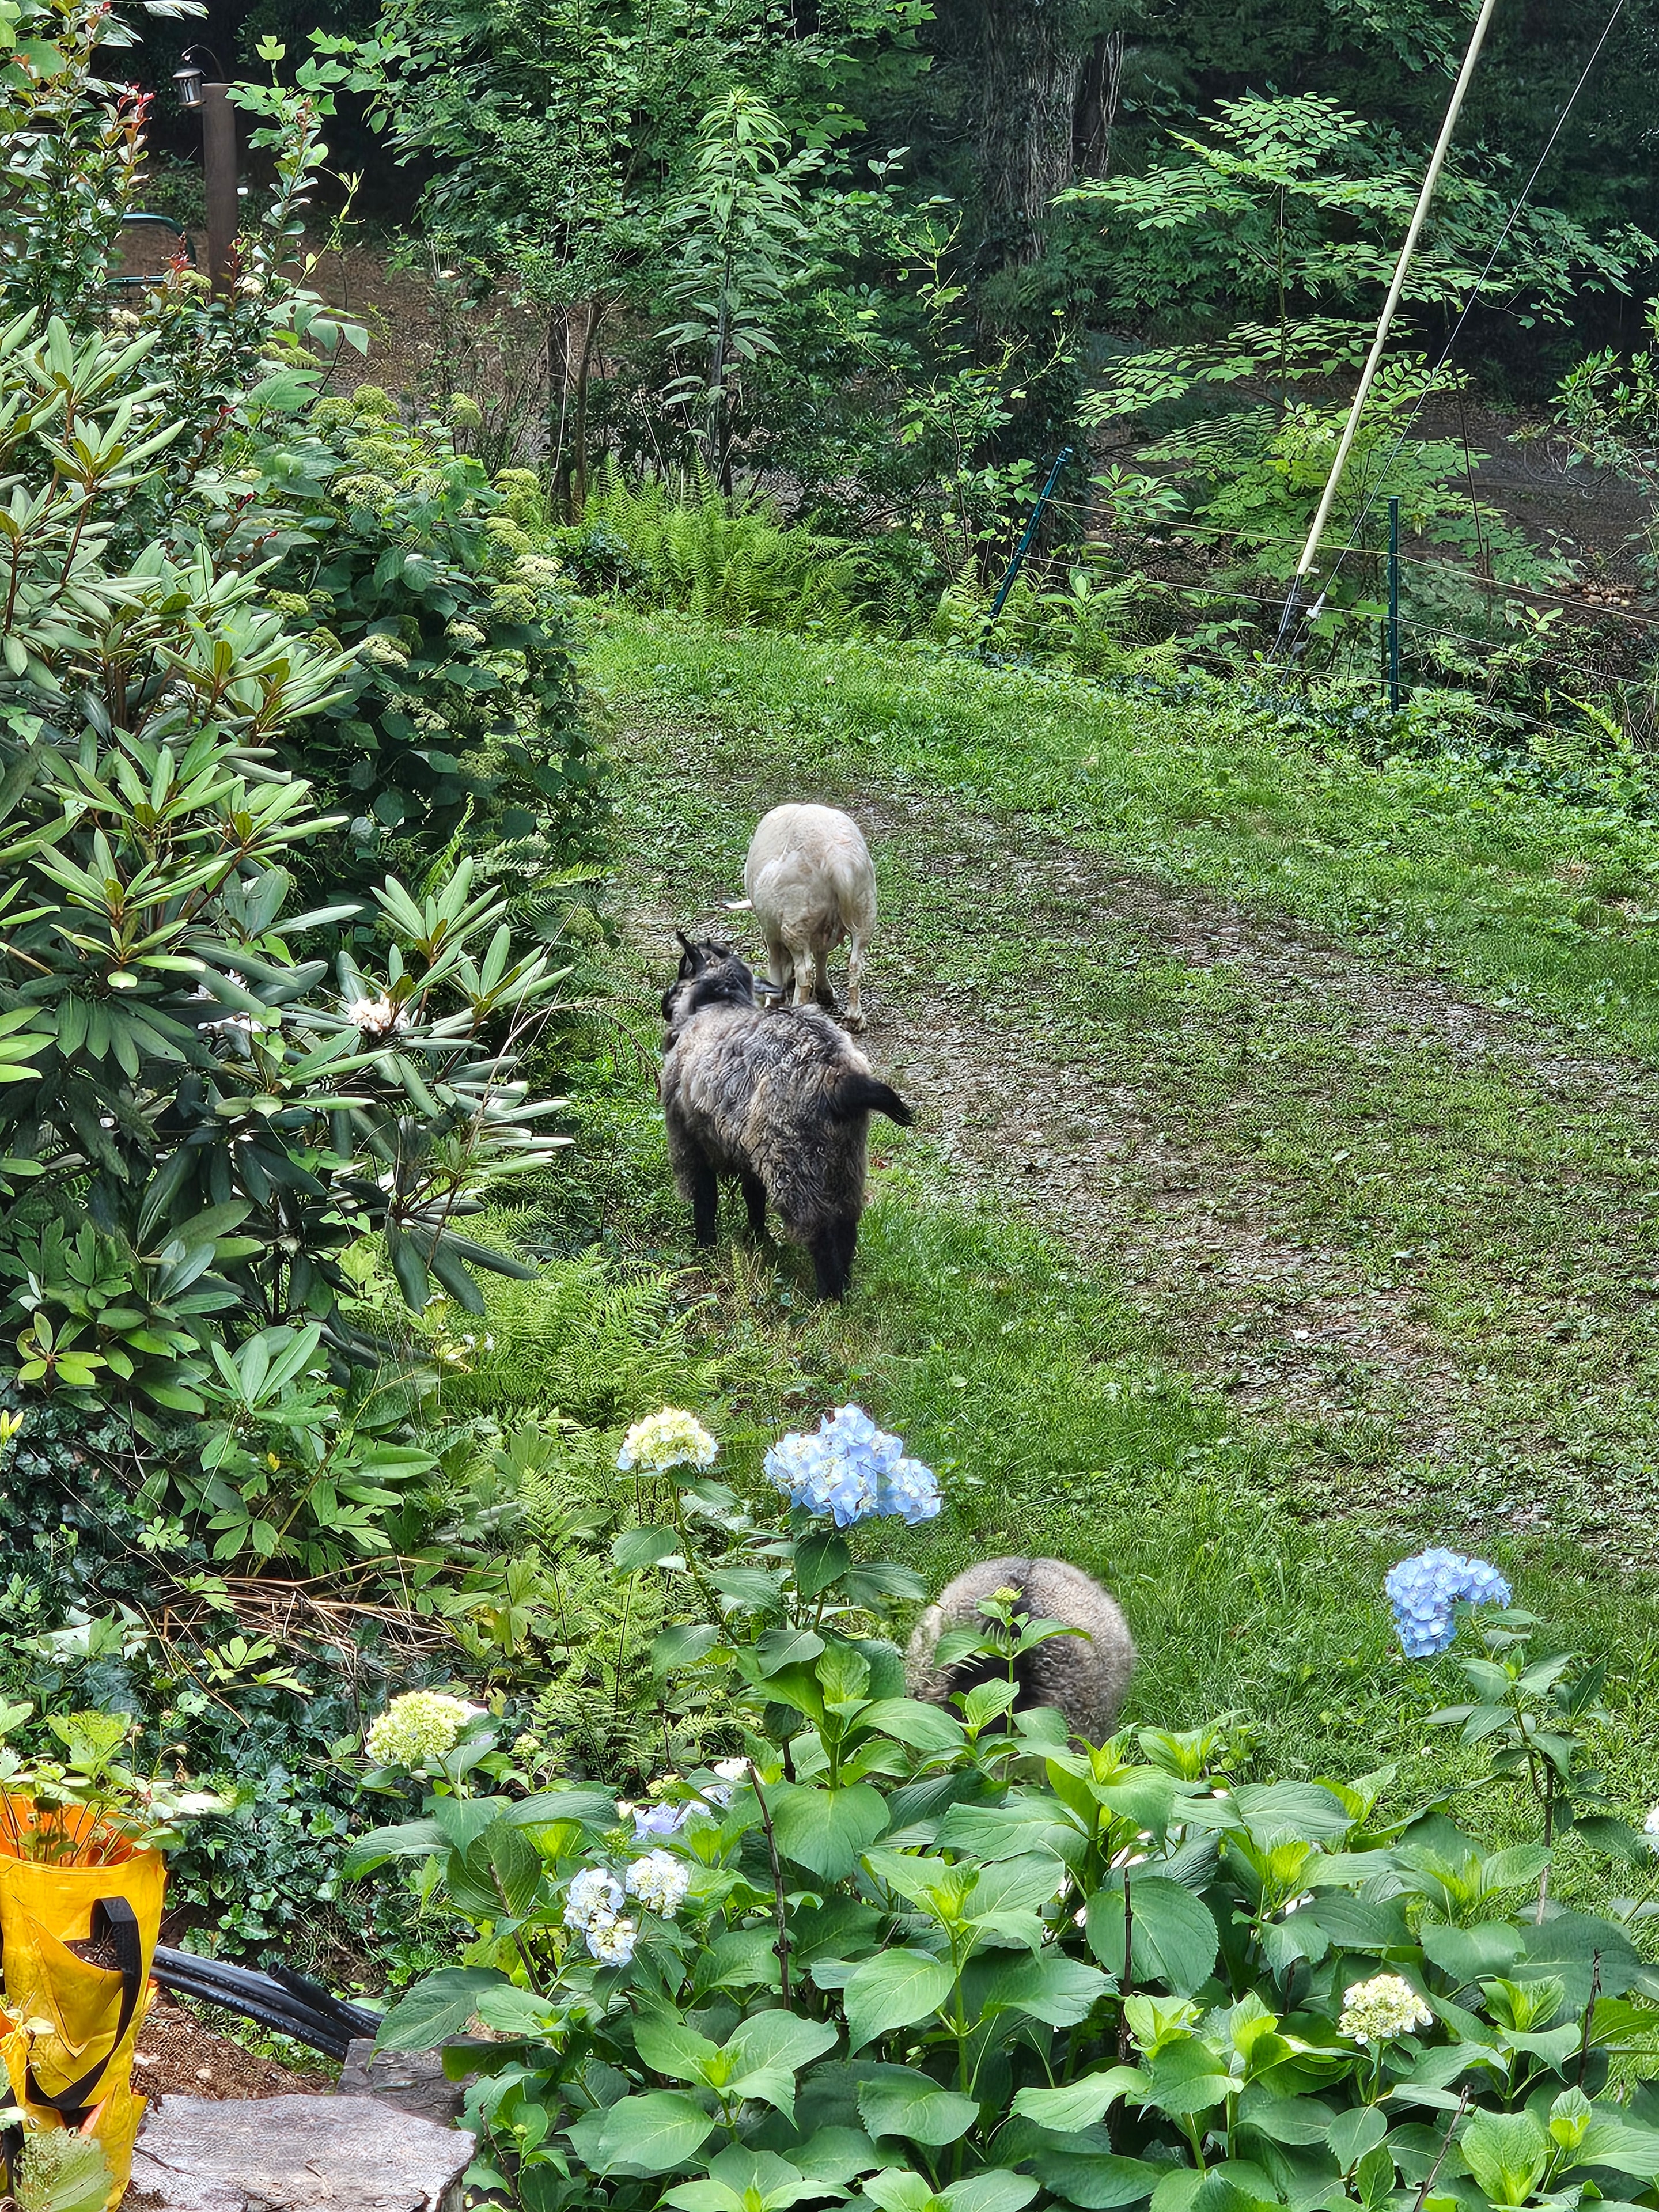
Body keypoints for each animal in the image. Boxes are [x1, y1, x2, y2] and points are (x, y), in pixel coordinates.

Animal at [660, 934, 912, 1299]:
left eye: (685, 968)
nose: (664, 1002)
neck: (718, 1003)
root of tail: (841, 1078)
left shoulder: (690, 1140)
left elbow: (705, 1201)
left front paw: (704, 1249)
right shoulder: (746, 1151)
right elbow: (754, 1197)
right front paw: (758, 1240)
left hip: (795, 1162)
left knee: (820, 1230)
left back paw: (828, 1297)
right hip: (844, 1162)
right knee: (846, 1226)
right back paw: (844, 1289)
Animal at [741, 804, 877, 1032]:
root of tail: (838, 860)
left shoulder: (770, 930)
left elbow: (775, 960)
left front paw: (775, 998)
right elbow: (822, 954)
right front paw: (825, 991)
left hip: (796, 919)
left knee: (805, 970)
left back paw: (798, 1006)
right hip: (864, 909)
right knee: (856, 963)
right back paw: (854, 1018)